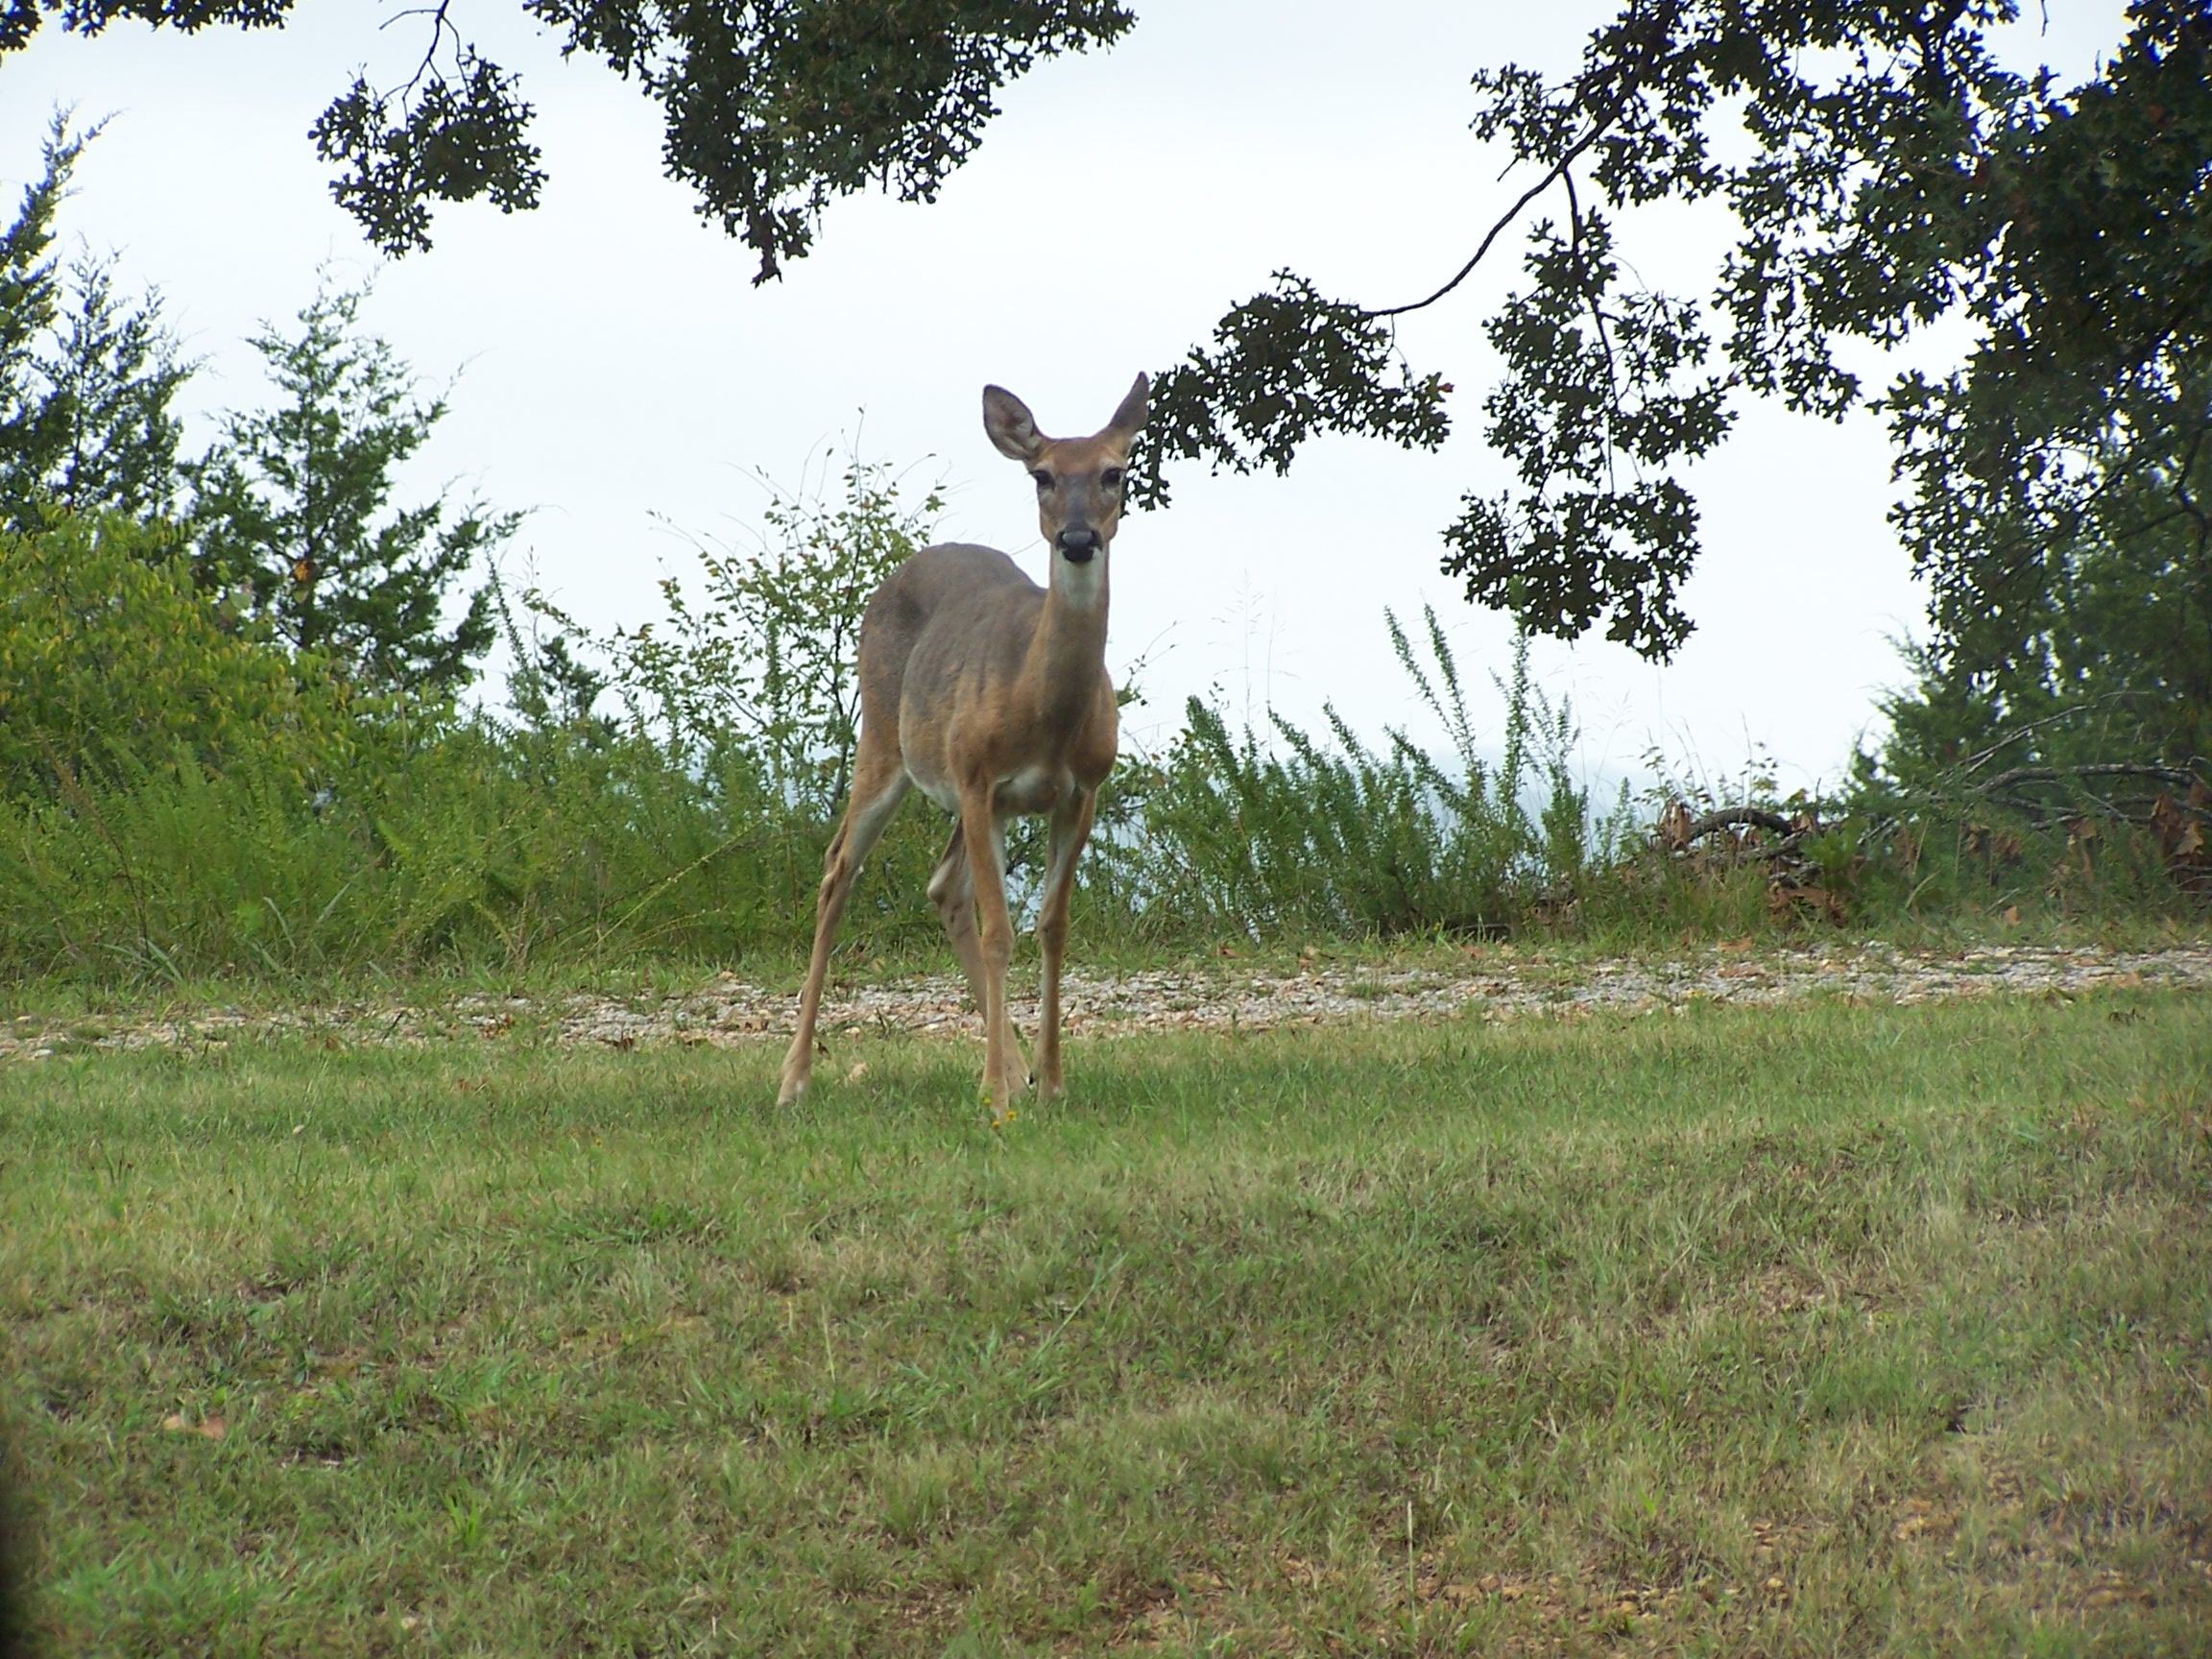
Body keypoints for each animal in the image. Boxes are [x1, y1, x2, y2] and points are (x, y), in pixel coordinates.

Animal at [779, 373, 1150, 1132]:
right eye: (1042, 475)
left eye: (1114, 471)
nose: (1077, 539)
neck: (1045, 712)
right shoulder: (981, 779)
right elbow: (1000, 932)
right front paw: (999, 1098)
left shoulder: (1080, 791)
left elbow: (1052, 927)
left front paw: (1049, 1082)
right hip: (885, 742)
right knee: (837, 870)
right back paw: (794, 1079)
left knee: (942, 886)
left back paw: (1010, 1067)